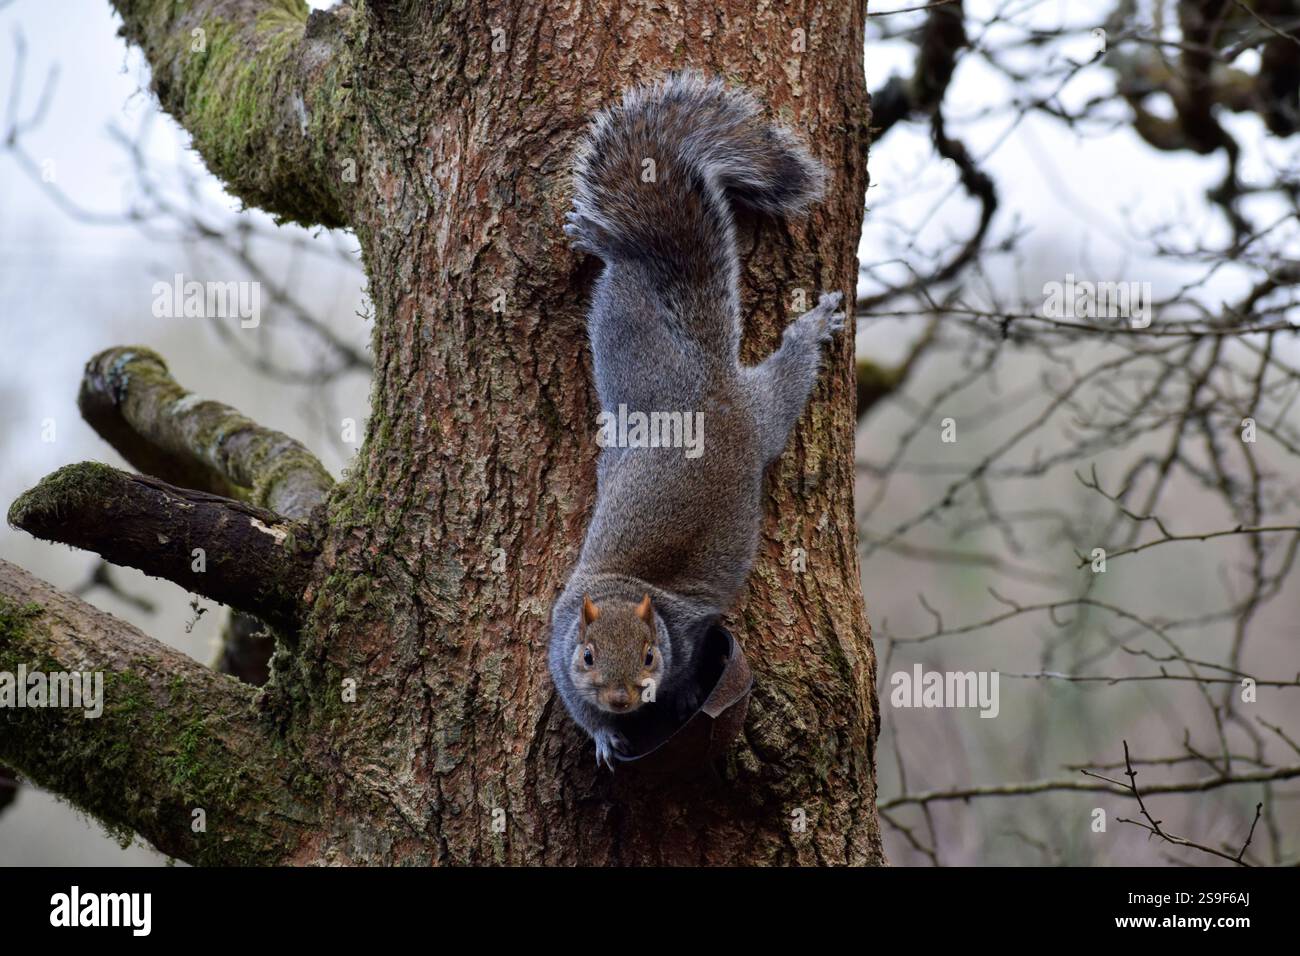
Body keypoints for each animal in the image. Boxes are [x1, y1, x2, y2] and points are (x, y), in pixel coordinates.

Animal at [548, 72, 846, 768]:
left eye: (650, 655)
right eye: (587, 655)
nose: (623, 699)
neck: (634, 589)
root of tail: (710, 387)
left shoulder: (690, 634)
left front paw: (677, 704)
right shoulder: (558, 649)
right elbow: (577, 709)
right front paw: (603, 735)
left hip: (677, 368)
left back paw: (809, 330)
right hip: (651, 353)